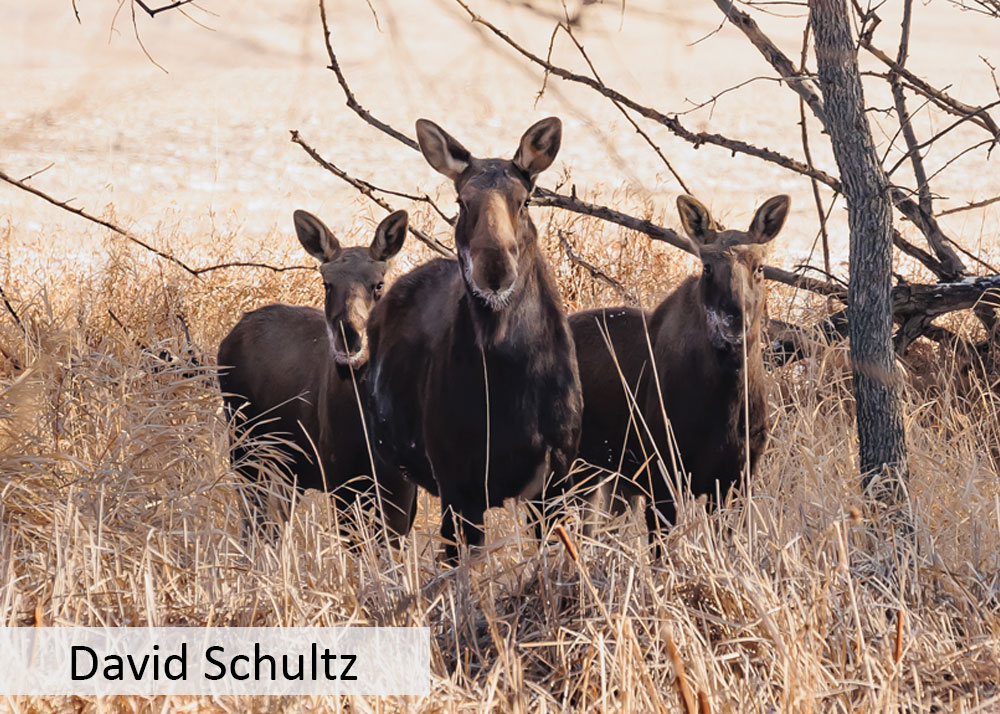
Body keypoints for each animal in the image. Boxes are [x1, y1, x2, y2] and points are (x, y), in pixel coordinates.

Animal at [217, 209, 416, 542]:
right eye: (327, 283)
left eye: (378, 283)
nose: (348, 336)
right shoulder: (340, 475)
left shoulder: (400, 483)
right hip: (244, 441)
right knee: (253, 519)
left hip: (289, 467)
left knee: (272, 523)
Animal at [366, 117, 583, 564]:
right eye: (462, 200)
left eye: (525, 200)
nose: (494, 268)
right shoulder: (456, 479)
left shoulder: (556, 476)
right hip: (389, 469)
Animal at [570, 194, 790, 542]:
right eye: (707, 266)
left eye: (760, 267)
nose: (734, 318)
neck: (728, 398)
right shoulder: (662, 474)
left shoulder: (736, 478)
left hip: (597, 474)